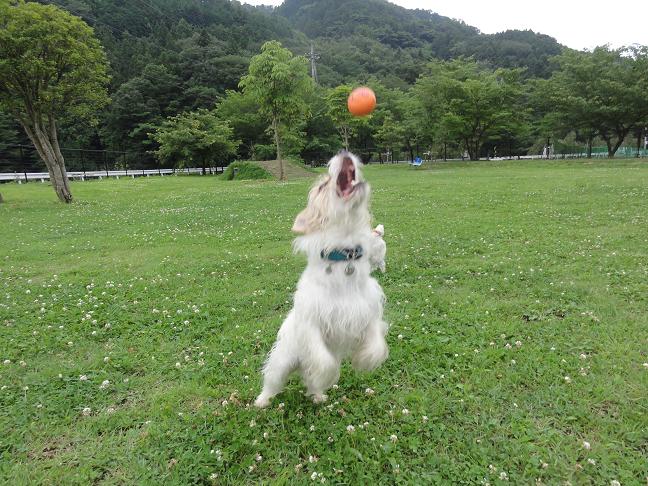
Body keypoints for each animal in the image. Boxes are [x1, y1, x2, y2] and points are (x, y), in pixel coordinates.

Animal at [253, 150, 388, 408]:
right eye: (322, 186)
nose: (344, 152)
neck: (344, 259)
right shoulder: (312, 323)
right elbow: (324, 362)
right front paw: (326, 375)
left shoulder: (369, 312)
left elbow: (376, 344)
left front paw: (363, 360)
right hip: (282, 362)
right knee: (272, 381)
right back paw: (262, 401)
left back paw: (316, 395)